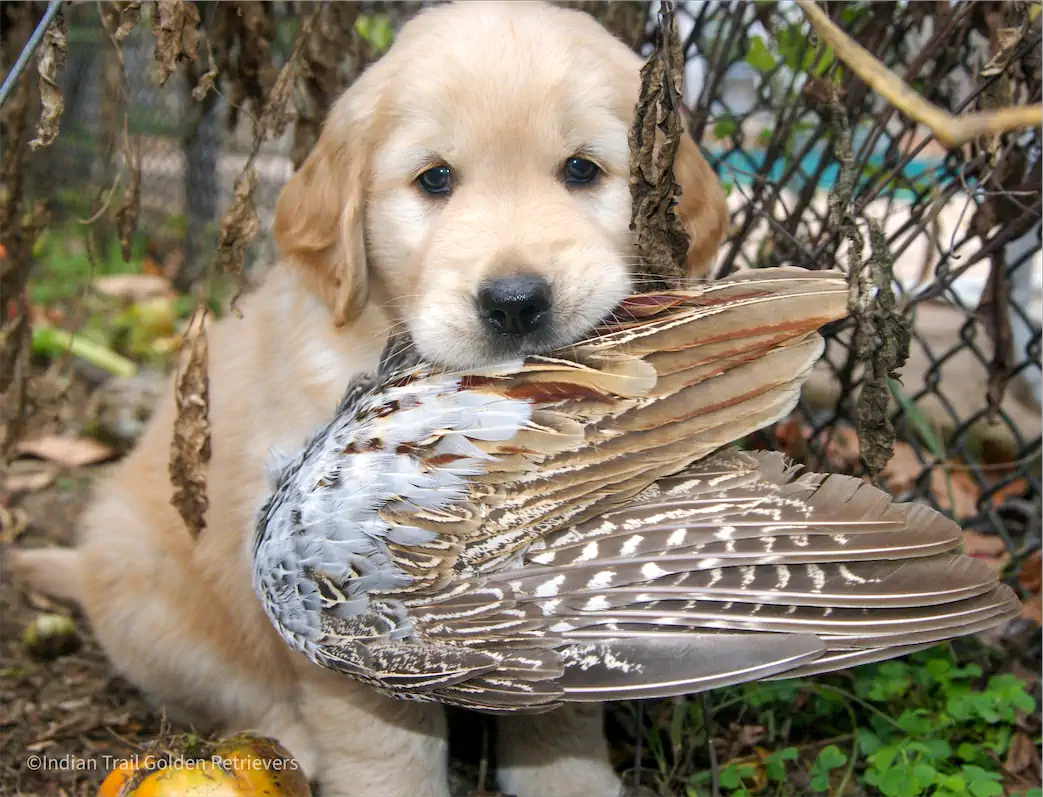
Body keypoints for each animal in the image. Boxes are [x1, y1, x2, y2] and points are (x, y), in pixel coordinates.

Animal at [10, 3, 725, 792]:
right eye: (434, 178)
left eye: (581, 169)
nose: (515, 304)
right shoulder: (330, 587)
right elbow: (384, 741)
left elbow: (561, 701)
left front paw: (568, 778)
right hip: (151, 587)